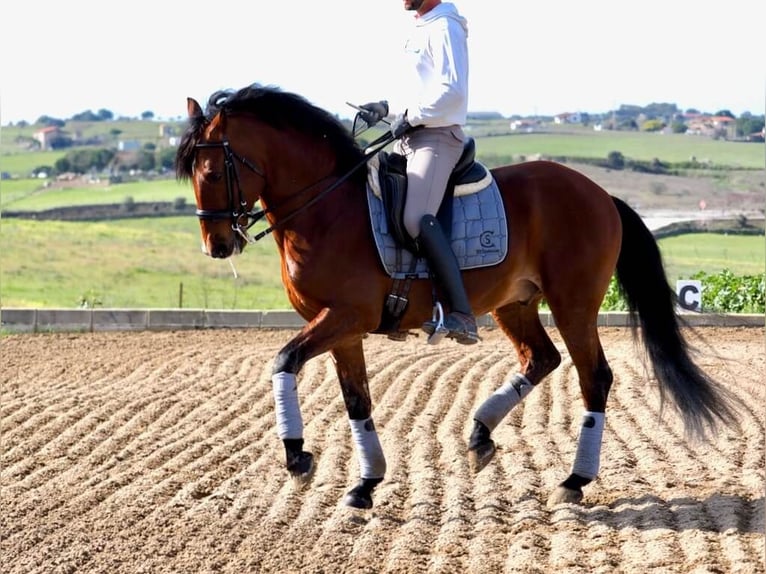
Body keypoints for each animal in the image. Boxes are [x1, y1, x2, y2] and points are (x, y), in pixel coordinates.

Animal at [177, 84, 740, 508]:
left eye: (211, 172)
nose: (216, 245)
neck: (326, 208)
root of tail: (599, 193)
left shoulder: (344, 316)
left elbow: (283, 360)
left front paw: (297, 457)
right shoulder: (340, 327)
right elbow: (356, 400)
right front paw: (365, 484)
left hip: (573, 303)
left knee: (593, 377)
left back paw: (573, 481)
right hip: (515, 302)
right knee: (541, 359)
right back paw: (480, 435)